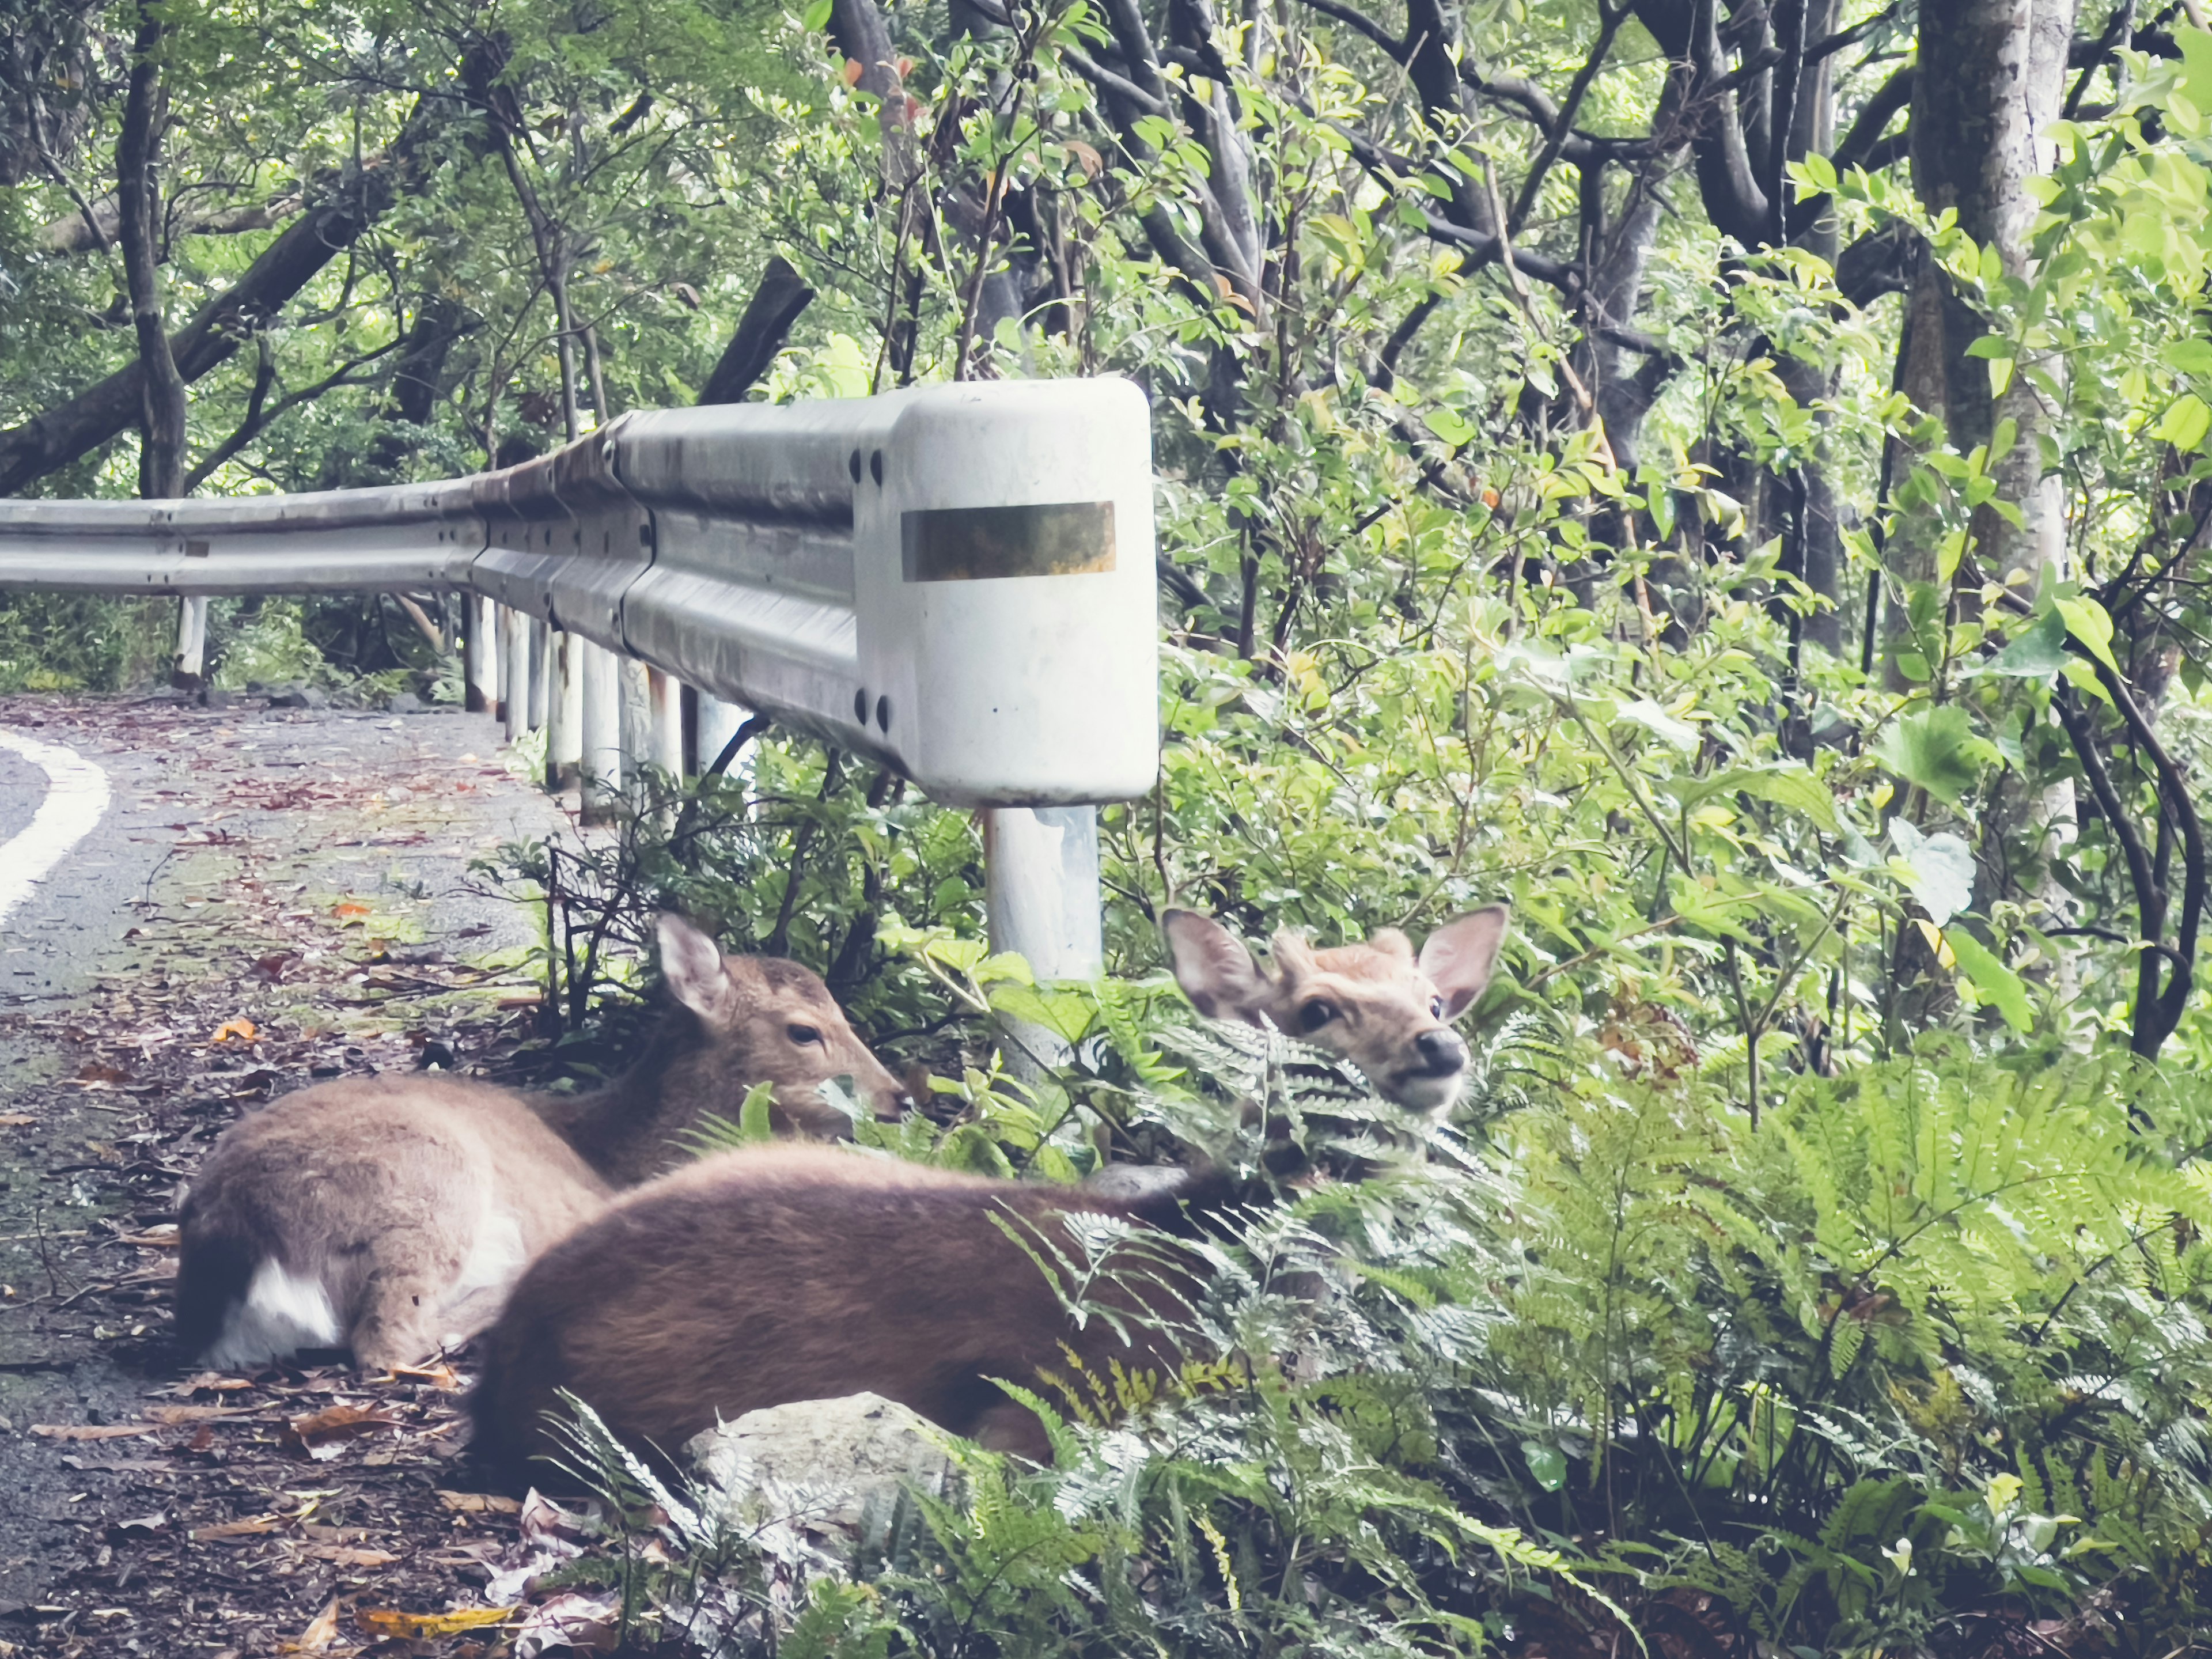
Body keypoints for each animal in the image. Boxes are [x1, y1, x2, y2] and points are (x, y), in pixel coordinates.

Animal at [175, 915, 907, 1371]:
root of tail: (233, 1237)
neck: (618, 1155)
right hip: (429, 1181)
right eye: (804, 1031)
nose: (901, 1098)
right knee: (389, 1339)